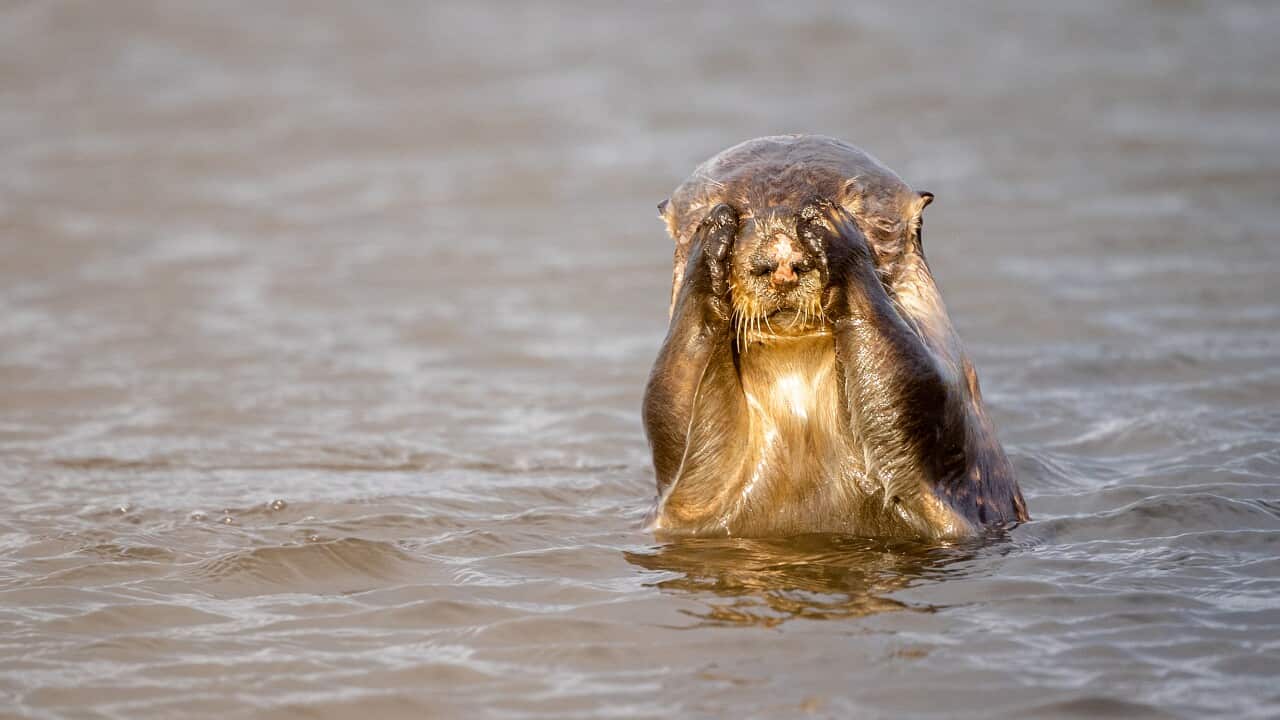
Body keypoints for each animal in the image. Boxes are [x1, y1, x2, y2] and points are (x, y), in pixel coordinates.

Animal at [642, 134, 1028, 540]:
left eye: (855, 204)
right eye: (735, 210)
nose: (782, 262)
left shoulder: (950, 399)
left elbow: (911, 384)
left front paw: (831, 227)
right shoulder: (687, 493)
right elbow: (671, 399)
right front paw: (712, 236)